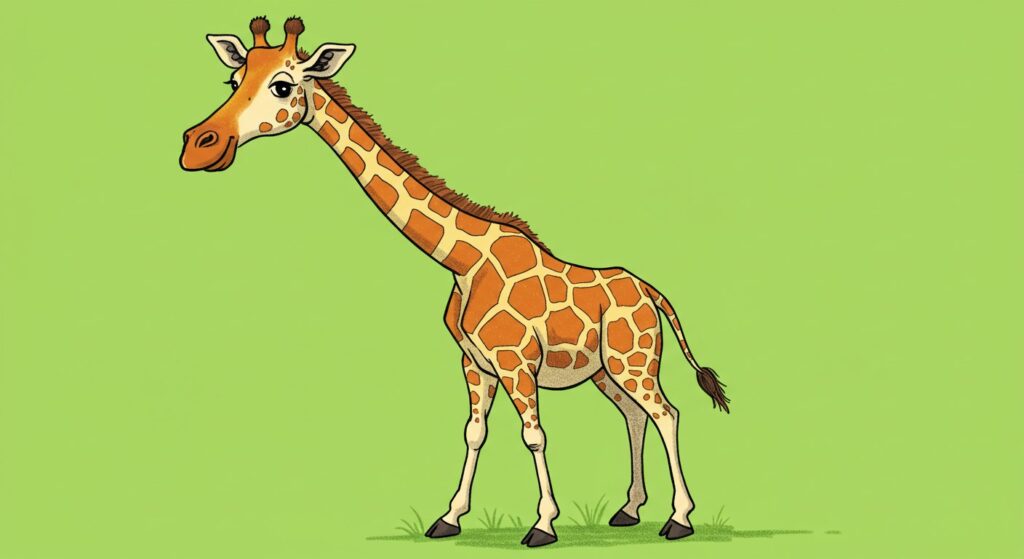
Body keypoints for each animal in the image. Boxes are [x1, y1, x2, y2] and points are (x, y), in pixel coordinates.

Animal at [180, 17, 730, 547]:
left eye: (282, 85)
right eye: (233, 80)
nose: (198, 147)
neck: (464, 260)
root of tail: (651, 293)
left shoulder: (515, 363)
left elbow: (534, 435)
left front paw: (543, 526)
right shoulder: (474, 362)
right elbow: (473, 433)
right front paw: (448, 518)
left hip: (633, 360)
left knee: (666, 413)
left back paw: (679, 519)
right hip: (605, 371)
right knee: (635, 416)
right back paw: (628, 510)